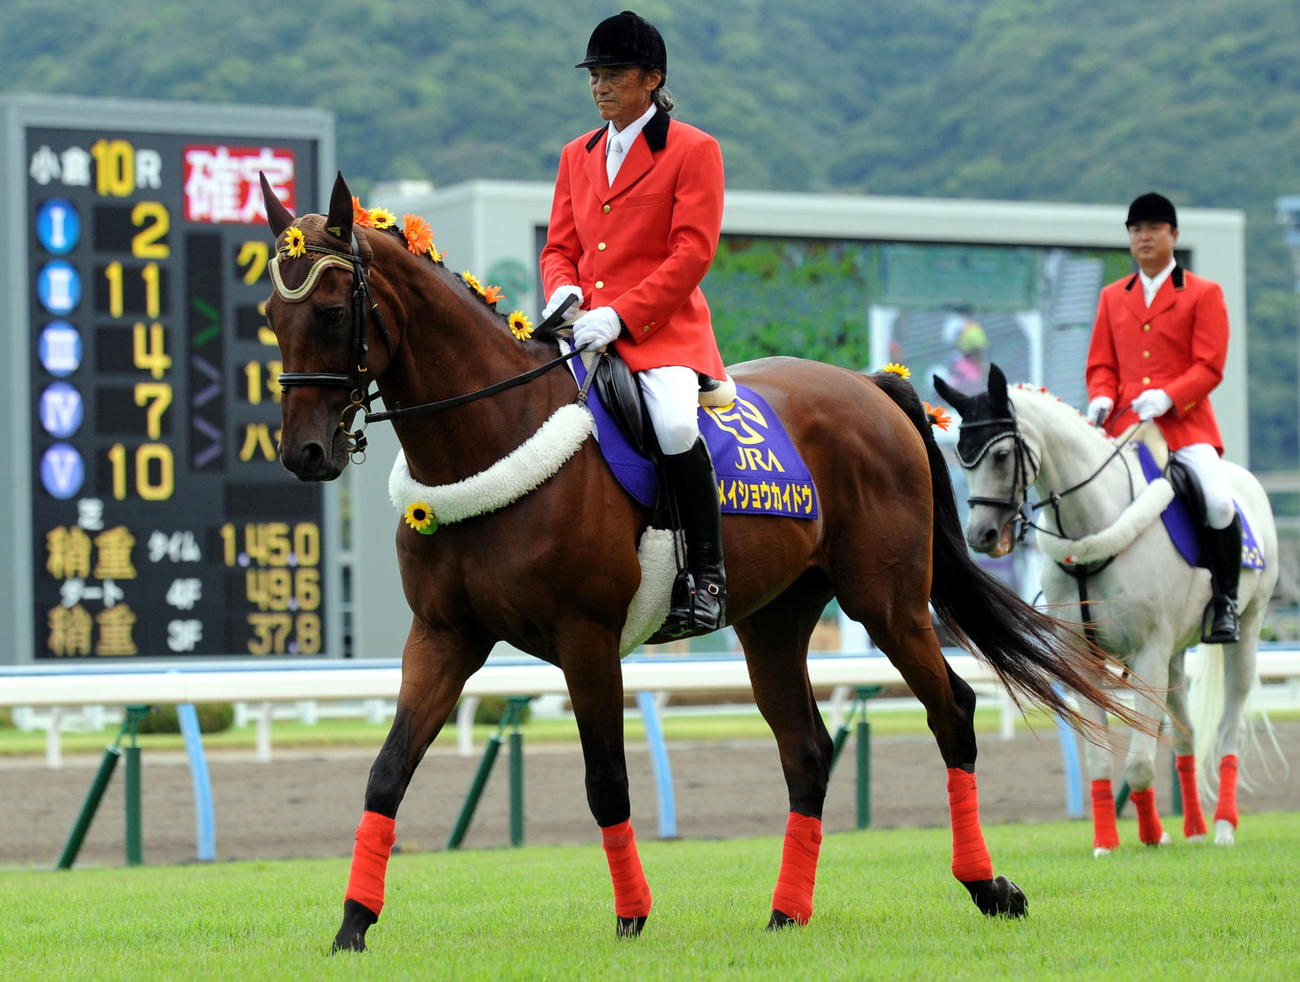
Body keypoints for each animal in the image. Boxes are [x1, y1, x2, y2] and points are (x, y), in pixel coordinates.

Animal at [260, 172, 1143, 952]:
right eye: (271, 314)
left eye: (332, 311)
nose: (305, 453)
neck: (495, 433)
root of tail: (870, 385)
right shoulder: (443, 637)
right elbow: (387, 773)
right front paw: (352, 925)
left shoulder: (586, 640)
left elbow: (606, 781)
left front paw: (632, 917)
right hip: (773, 622)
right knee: (808, 750)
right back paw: (788, 912)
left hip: (885, 600)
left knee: (951, 708)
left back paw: (988, 885)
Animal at [935, 364, 1279, 856]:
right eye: (962, 459)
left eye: (1000, 455)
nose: (981, 536)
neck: (1091, 527)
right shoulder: (1083, 657)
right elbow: (1099, 760)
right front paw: (1106, 842)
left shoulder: (1148, 652)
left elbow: (1138, 763)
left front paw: (1151, 834)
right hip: (1175, 656)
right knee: (1185, 733)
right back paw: (1195, 827)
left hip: (1244, 634)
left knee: (1230, 726)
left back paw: (1224, 827)